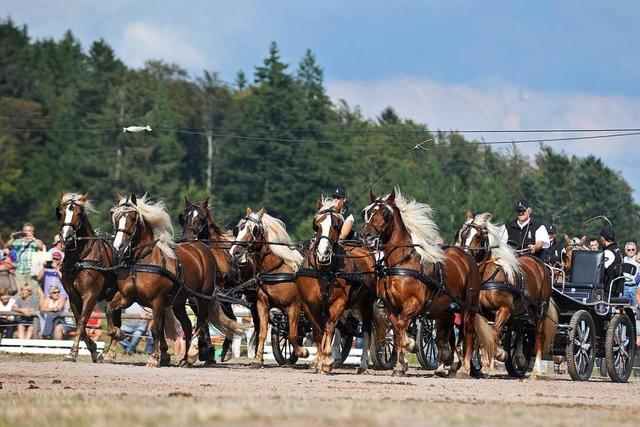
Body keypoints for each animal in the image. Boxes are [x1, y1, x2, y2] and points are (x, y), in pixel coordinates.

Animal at [55, 192, 119, 362]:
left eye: (79, 214)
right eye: (61, 212)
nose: (66, 237)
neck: (79, 258)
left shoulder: (90, 295)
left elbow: (83, 321)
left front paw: (72, 353)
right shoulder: (73, 297)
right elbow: (79, 323)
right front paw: (94, 350)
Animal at [230, 207, 310, 368]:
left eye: (254, 229)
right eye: (239, 228)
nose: (235, 252)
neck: (276, 270)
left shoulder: (294, 306)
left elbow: (292, 334)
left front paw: (302, 351)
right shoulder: (262, 304)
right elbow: (262, 332)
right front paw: (257, 359)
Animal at [360, 187, 496, 378]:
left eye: (385, 214)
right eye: (368, 212)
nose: (366, 235)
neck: (401, 263)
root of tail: (467, 255)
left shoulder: (415, 303)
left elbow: (402, 326)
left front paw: (411, 345)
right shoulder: (389, 306)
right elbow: (397, 332)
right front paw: (399, 366)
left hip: (468, 306)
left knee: (468, 334)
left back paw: (464, 368)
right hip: (443, 309)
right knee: (444, 335)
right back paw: (446, 362)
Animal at [458, 211, 556, 378]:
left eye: (478, 236)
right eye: (464, 234)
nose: (464, 254)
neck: (488, 276)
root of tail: (540, 265)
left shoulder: (504, 309)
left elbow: (493, 332)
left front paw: (497, 354)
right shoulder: (479, 311)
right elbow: (480, 336)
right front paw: (480, 364)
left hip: (540, 310)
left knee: (539, 336)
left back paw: (535, 370)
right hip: (519, 311)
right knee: (520, 329)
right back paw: (520, 359)